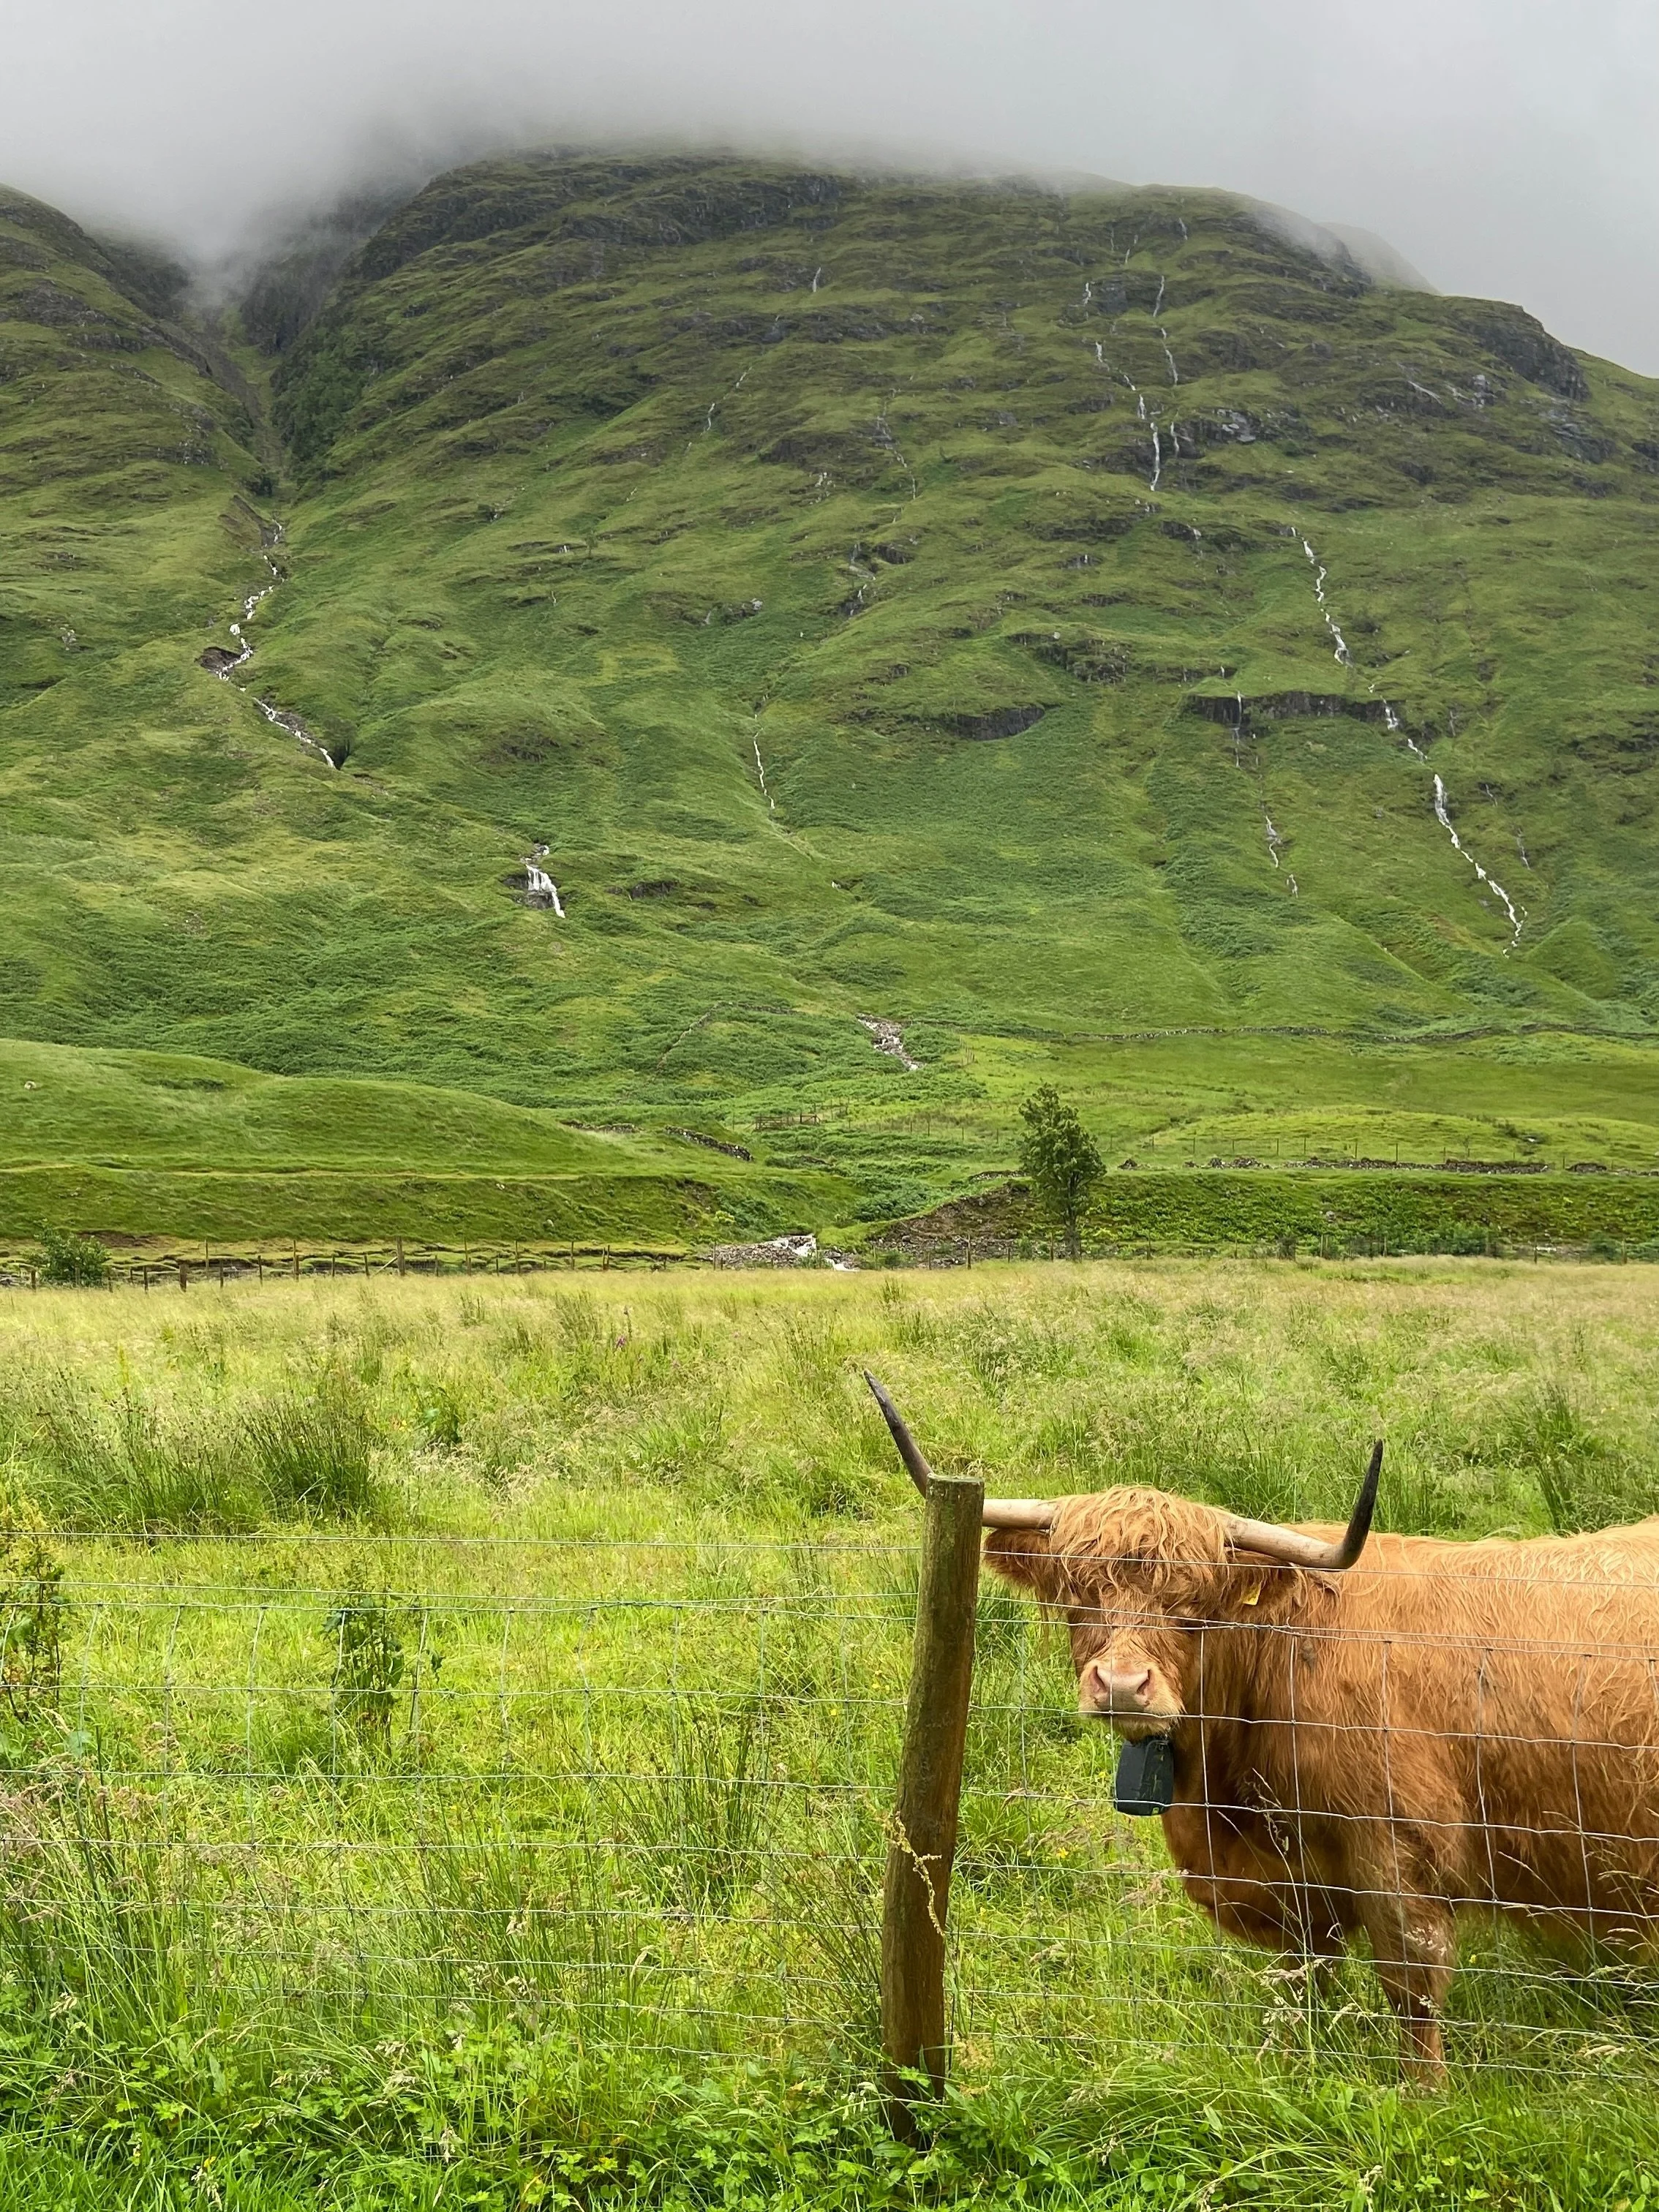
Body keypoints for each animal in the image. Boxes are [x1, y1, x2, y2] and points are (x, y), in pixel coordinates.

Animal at [867, 1374, 1659, 2084]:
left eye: (1195, 1605)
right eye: (1077, 1593)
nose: (1122, 1686)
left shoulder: (1400, 1851)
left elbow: (1413, 1990)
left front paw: (1423, 2100)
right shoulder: (1296, 1884)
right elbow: (1300, 1985)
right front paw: (1289, 2065)